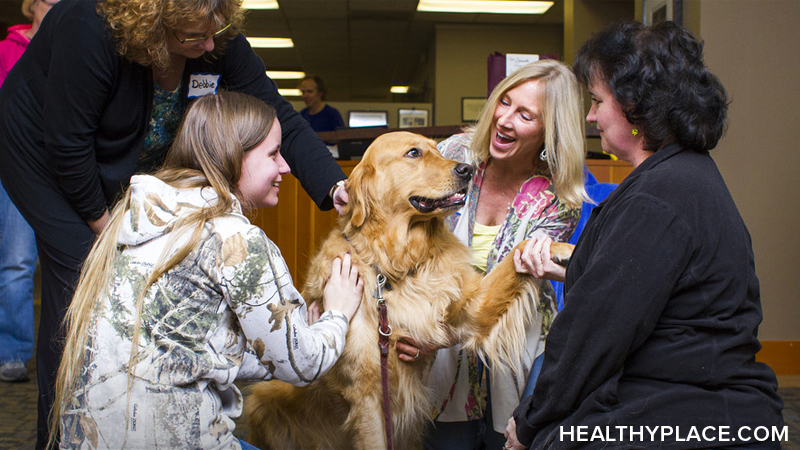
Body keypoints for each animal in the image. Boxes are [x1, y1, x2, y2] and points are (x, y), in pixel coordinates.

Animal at [244, 131, 568, 450]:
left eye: (437, 150)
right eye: (413, 153)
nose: (467, 169)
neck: (398, 265)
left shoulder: (473, 308)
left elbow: (520, 249)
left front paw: (561, 250)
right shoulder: (367, 396)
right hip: (261, 399)